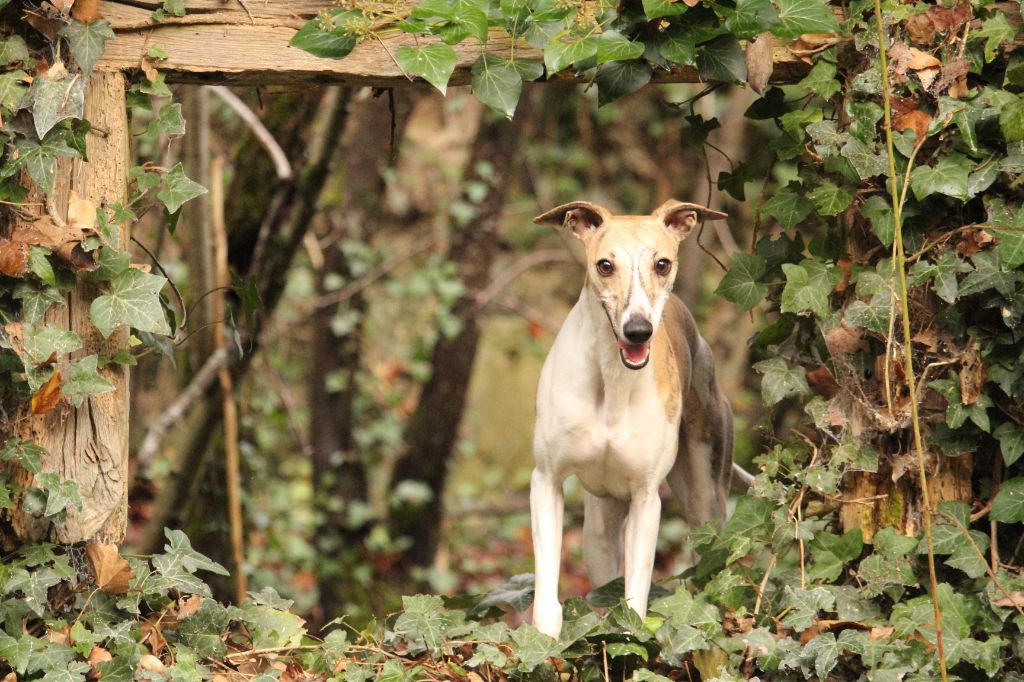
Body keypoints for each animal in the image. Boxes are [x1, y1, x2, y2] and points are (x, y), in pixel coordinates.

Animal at [532, 199, 749, 634]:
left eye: (662, 263)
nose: (638, 330)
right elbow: (547, 594)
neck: (612, 382)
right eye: (605, 265)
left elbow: (635, 598)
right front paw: (543, 640)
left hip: (705, 496)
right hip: (598, 531)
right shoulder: (546, 480)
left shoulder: (647, 499)